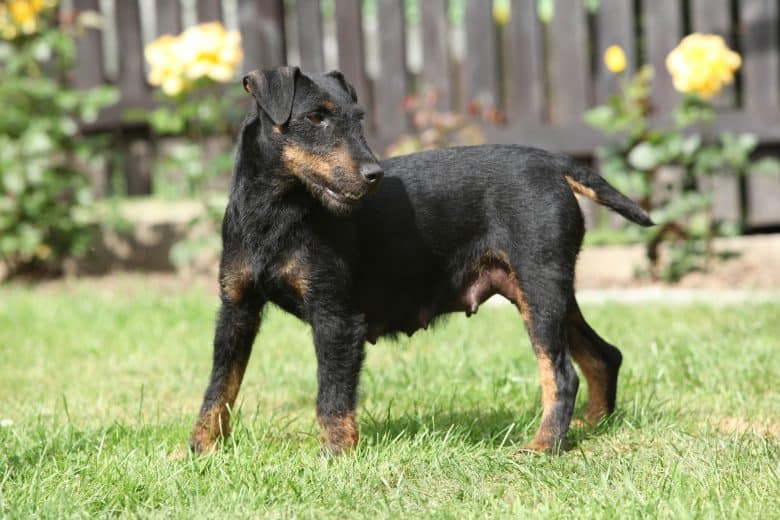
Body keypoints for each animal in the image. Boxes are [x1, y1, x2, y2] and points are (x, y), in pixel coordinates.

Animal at [190, 65, 652, 456]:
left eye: (358, 118)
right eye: (315, 118)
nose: (373, 175)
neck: (275, 211)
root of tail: (553, 163)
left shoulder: (335, 318)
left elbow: (332, 395)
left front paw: (335, 456)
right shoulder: (237, 310)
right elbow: (219, 386)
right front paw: (201, 450)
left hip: (540, 289)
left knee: (561, 374)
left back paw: (544, 447)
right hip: (541, 290)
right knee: (603, 355)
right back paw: (589, 428)